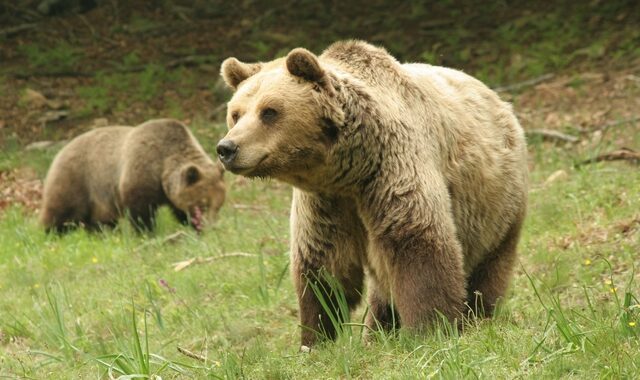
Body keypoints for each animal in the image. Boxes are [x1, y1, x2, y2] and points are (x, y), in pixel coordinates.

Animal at [40, 119, 225, 233]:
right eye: (203, 204)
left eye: (219, 205)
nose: (210, 226)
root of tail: (61, 151)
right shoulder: (140, 173)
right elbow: (140, 211)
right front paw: (146, 232)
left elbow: (179, 209)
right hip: (76, 179)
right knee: (62, 210)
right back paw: (52, 232)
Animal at [218, 40, 528, 346]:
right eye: (236, 114)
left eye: (269, 111)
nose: (227, 148)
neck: (350, 170)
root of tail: (499, 100)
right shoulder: (326, 203)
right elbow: (323, 266)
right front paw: (315, 338)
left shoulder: (392, 170)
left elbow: (418, 246)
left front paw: (430, 329)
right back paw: (379, 331)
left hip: (496, 206)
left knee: (488, 268)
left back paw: (478, 317)